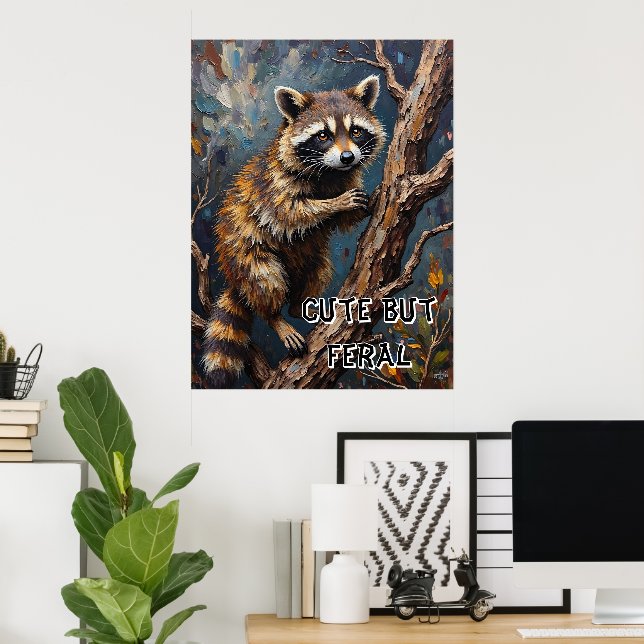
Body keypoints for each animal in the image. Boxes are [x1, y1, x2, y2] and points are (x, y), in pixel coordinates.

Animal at [201, 74, 385, 387]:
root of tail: (233, 277)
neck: (329, 172)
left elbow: (345, 221)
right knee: (266, 280)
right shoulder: (273, 186)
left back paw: (300, 305)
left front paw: (368, 202)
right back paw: (276, 317)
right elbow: (289, 214)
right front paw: (333, 203)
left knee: (317, 272)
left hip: (312, 262)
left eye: (356, 131)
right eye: (323, 135)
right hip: (247, 254)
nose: (348, 157)